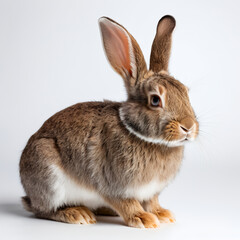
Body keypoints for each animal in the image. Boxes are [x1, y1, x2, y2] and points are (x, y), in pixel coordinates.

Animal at [19, 15, 199, 229]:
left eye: (185, 92)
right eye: (155, 100)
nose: (189, 126)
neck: (140, 135)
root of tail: (29, 196)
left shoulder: (151, 192)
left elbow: (152, 201)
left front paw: (162, 214)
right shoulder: (114, 185)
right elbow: (127, 203)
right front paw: (144, 219)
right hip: (48, 175)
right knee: (44, 210)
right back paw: (78, 214)